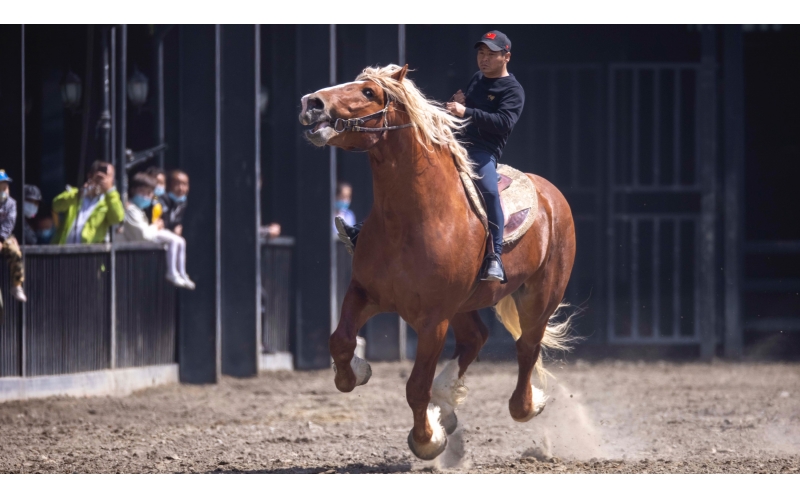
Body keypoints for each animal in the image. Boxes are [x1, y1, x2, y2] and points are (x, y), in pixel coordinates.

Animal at [298, 64, 576, 460]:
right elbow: (340, 341)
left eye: (368, 92)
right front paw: (355, 372)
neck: (414, 219)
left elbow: (416, 386)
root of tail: (550, 194)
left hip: (540, 296)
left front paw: (427, 440)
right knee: (476, 338)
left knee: (526, 347)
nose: (312, 102)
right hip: (465, 305)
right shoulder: (363, 292)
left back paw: (525, 405)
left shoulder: (433, 320)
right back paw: (448, 401)